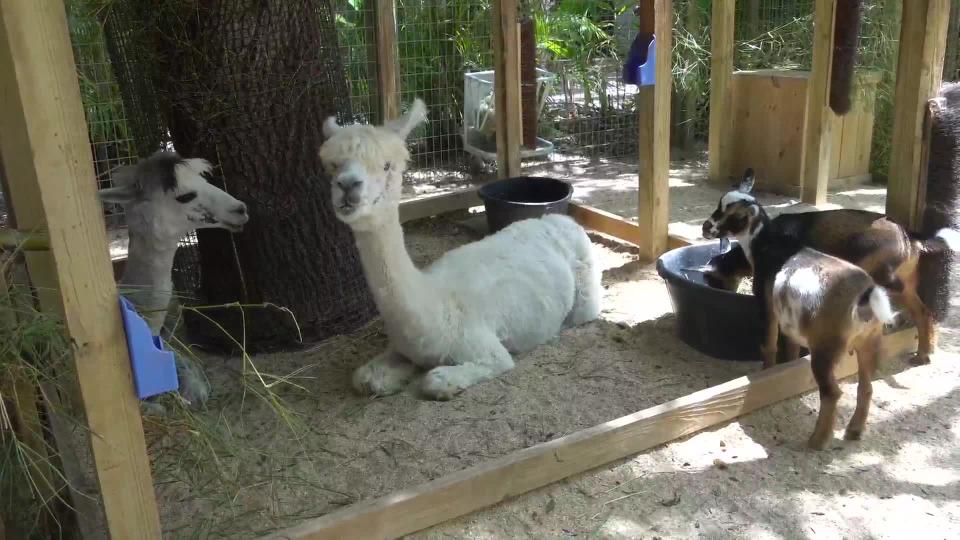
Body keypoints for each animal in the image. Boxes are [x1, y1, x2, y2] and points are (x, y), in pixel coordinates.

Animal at [700, 171, 956, 370]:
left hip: (877, 275)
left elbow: (770, 344)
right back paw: (923, 353)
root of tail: (908, 237)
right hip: (907, 285)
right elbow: (791, 344)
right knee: (923, 312)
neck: (765, 238)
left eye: (729, 215)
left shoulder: (769, 302)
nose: (704, 227)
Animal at [764, 247, 892, 450]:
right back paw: (854, 431)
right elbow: (791, 345)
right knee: (866, 387)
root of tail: (863, 297)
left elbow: (770, 339)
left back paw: (817, 441)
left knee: (831, 393)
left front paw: (767, 369)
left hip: (824, 350)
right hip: (869, 340)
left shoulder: (768, 299)